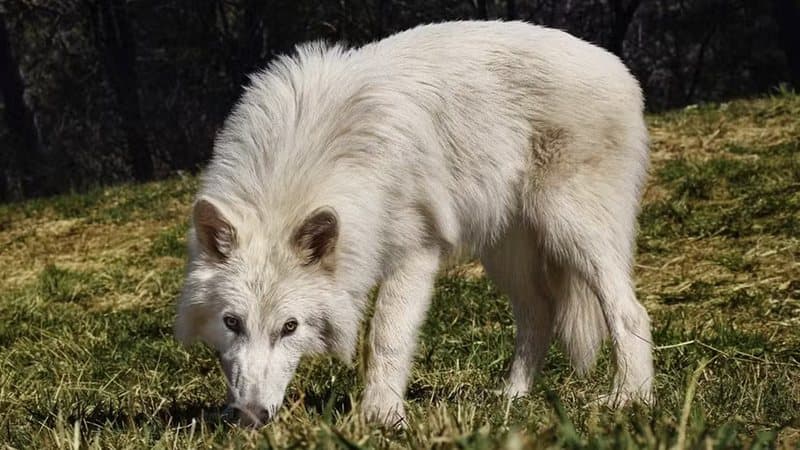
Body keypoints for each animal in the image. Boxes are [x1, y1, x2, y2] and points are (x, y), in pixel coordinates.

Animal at [175, 20, 654, 427]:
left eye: (289, 327)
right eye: (232, 322)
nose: (250, 417)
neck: (305, 160)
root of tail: (618, 67)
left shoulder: (416, 253)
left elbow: (386, 336)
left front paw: (382, 417)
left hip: (572, 232)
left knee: (630, 311)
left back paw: (630, 399)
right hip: (506, 256)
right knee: (539, 314)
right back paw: (513, 397)